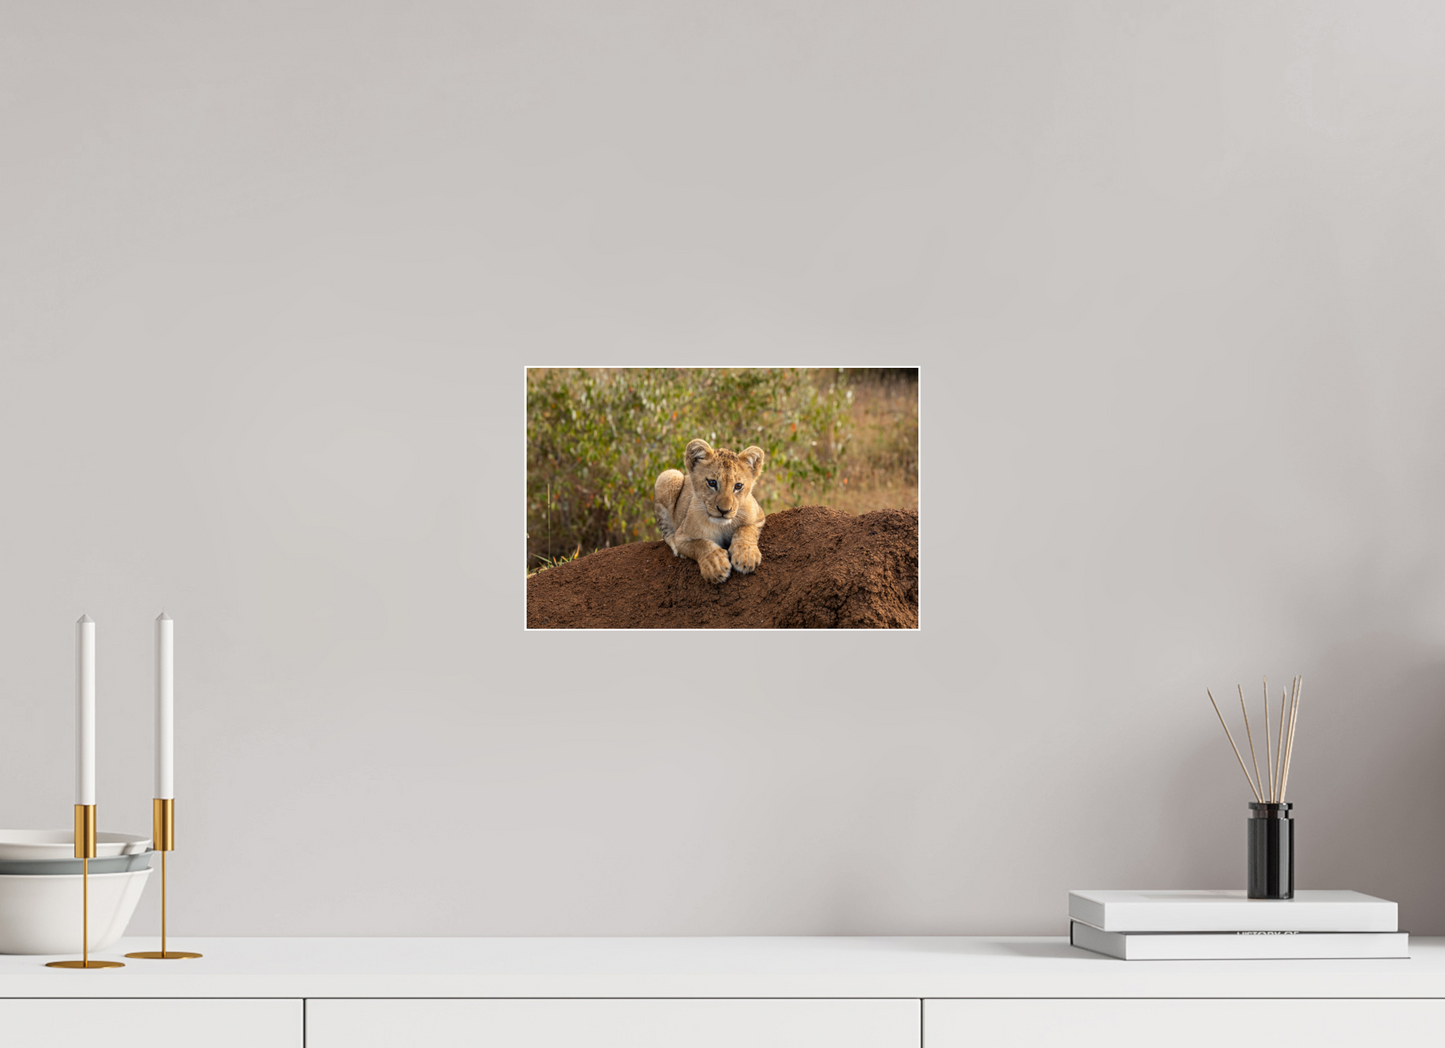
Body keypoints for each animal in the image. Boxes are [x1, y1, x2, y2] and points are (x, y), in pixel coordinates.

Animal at [654, 438, 766, 584]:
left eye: (738, 486)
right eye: (712, 483)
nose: (724, 510)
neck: (722, 526)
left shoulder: (759, 516)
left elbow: (746, 530)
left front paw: (745, 556)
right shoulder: (682, 537)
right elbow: (700, 544)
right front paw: (716, 564)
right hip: (668, 476)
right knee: (666, 531)